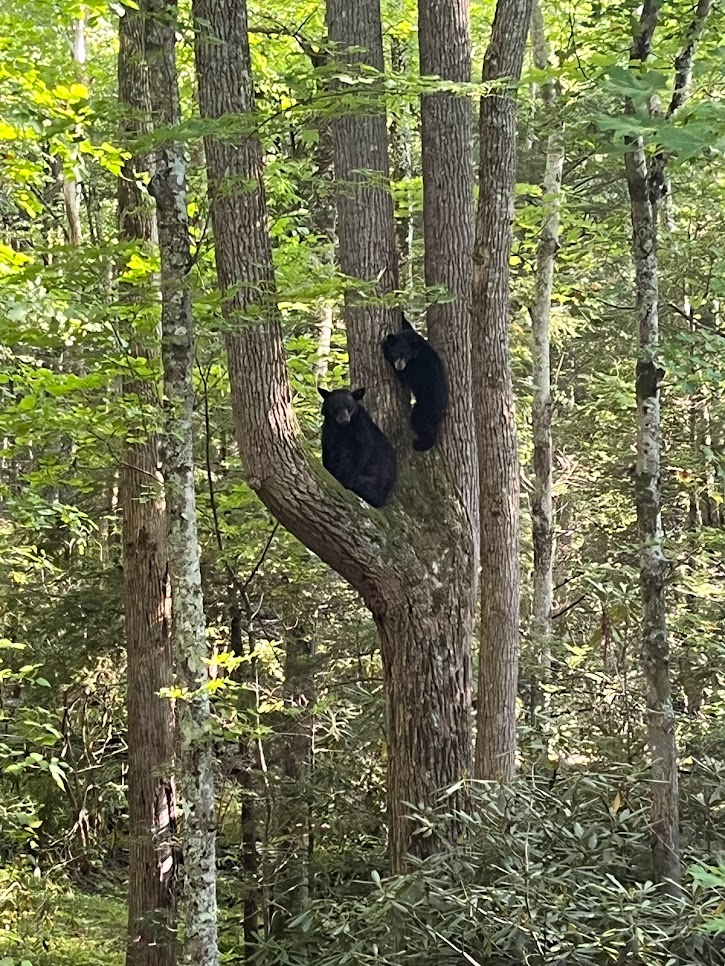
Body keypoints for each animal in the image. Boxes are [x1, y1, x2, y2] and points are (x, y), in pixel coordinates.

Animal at [384, 316, 446, 456]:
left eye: (405, 355)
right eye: (396, 353)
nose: (399, 365)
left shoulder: (415, 367)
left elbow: (402, 375)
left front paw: (384, 348)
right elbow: (407, 325)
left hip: (425, 407)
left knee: (420, 421)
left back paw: (421, 444)